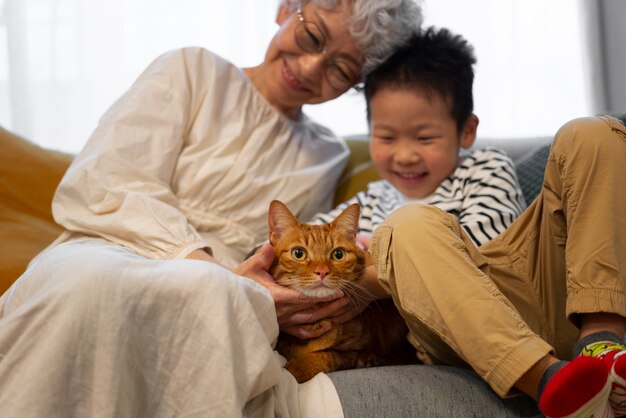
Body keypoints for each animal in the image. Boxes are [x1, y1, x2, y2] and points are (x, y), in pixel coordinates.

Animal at [266, 199, 416, 382]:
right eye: (298, 253)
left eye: (338, 254)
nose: (322, 271)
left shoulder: (350, 352)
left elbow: (326, 355)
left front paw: (296, 368)